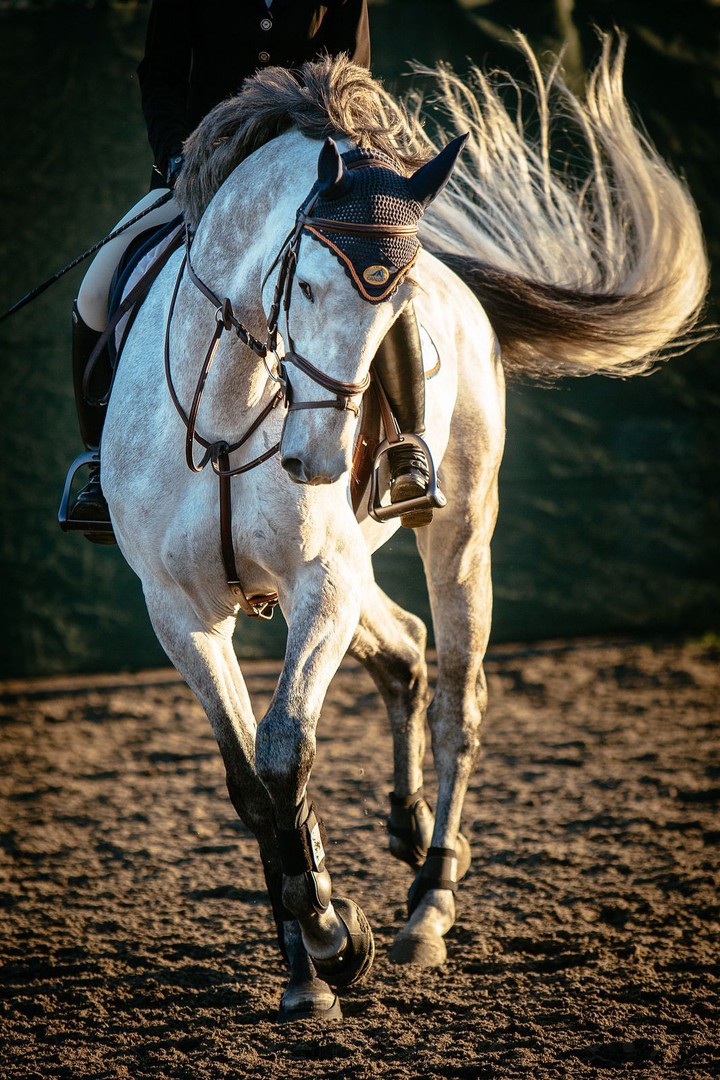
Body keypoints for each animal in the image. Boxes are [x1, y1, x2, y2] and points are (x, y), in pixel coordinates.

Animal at [99, 40, 709, 1022]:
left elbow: (284, 755)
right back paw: (404, 832)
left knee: (460, 693)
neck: (230, 411)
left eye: (394, 311)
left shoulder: (322, 579)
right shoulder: (179, 610)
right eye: (306, 284)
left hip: (458, 531)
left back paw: (429, 903)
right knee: (407, 648)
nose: (315, 459)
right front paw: (306, 968)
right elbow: (249, 783)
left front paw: (333, 938)